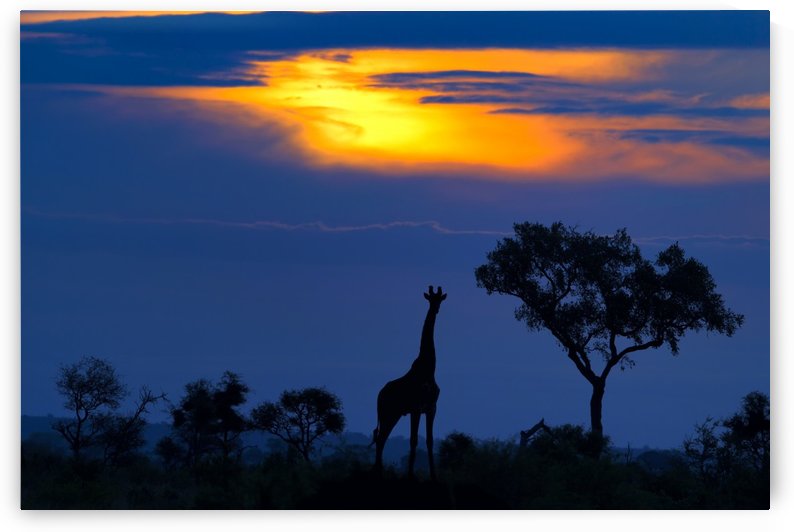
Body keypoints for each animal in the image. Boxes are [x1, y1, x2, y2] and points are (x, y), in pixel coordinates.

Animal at [372, 285, 446, 481]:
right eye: (430, 299)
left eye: (439, 299)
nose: (436, 309)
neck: (429, 369)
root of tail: (379, 395)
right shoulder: (416, 407)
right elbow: (413, 440)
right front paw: (411, 475)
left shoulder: (431, 407)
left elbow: (429, 440)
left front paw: (434, 476)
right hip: (387, 413)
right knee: (380, 438)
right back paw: (378, 472)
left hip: (395, 414)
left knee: (381, 438)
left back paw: (379, 471)